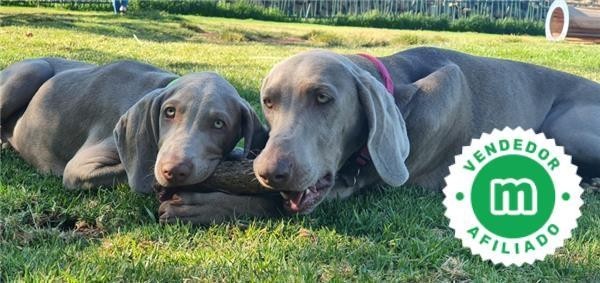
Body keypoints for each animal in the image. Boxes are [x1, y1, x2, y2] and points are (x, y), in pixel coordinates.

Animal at [1, 57, 264, 195]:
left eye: (219, 124)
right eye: (169, 112)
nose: (173, 170)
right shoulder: (77, 169)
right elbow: (131, 173)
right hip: (32, 69)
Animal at [159, 46, 600, 223]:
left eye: (323, 98)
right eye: (268, 101)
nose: (270, 171)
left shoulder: (363, 184)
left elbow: (277, 204)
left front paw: (202, 206)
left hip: (566, 127)